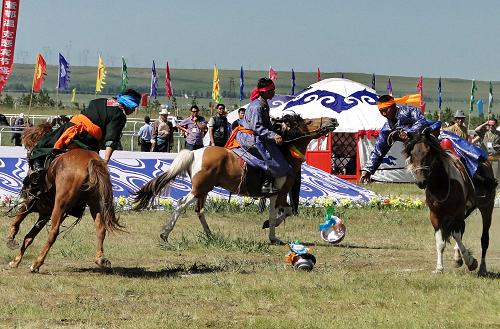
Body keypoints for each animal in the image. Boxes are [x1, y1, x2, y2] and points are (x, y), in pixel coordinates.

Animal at [6, 123, 121, 272]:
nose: (28, 155)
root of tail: (92, 161)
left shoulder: (30, 201)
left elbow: (17, 221)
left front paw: (11, 239)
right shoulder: (44, 214)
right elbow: (29, 237)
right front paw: (16, 261)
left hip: (60, 204)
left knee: (54, 232)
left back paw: (36, 263)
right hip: (95, 203)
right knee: (101, 228)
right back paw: (100, 259)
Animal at [133, 114, 336, 243]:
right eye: (308, 121)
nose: (333, 120)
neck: (284, 154)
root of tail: (195, 153)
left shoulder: (280, 195)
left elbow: (287, 211)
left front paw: (268, 227)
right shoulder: (276, 194)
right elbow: (278, 213)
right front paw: (272, 234)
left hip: (204, 189)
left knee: (199, 210)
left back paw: (210, 235)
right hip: (199, 189)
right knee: (182, 204)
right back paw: (165, 233)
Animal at [406, 131, 496, 274]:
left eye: (428, 153)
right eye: (412, 154)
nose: (421, 181)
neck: (441, 185)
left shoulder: (458, 212)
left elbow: (457, 235)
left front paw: (470, 261)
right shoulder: (435, 215)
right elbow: (440, 242)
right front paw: (439, 267)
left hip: (487, 206)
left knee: (484, 239)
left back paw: (482, 267)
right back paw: (457, 258)